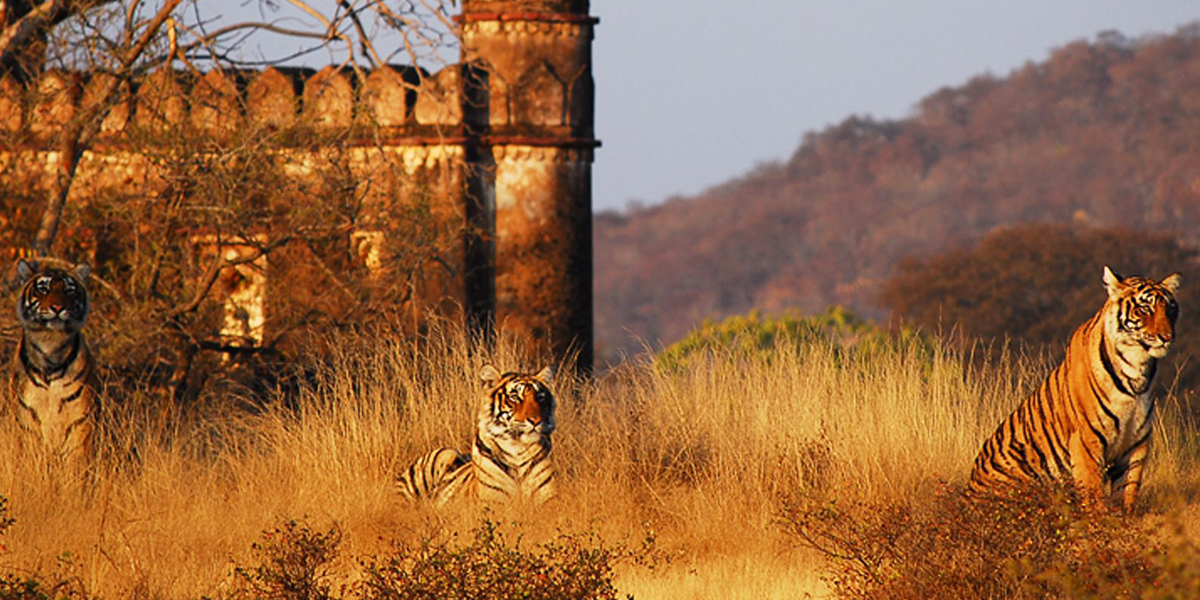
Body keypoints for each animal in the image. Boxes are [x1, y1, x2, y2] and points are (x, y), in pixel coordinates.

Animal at [5, 258, 100, 468]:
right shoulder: (27, 419)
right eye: (43, 289)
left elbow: (75, 465)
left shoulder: (79, 420)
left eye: (69, 290)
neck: (51, 345)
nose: (57, 307)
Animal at [398, 362, 556, 508]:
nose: (536, 420)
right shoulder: (492, 503)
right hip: (443, 455)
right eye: (515, 397)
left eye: (540, 397)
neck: (518, 448)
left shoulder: (548, 503)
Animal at [964, 267, 1180, 511]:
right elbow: (1093, 490)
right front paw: (1100, 519)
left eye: (1171, 310)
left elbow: (1128, 489)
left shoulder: (1136, 440)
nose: (1167, 338)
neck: (1137, 366)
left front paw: (1125, 515)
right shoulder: (1086, 438)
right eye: (1145, 308)